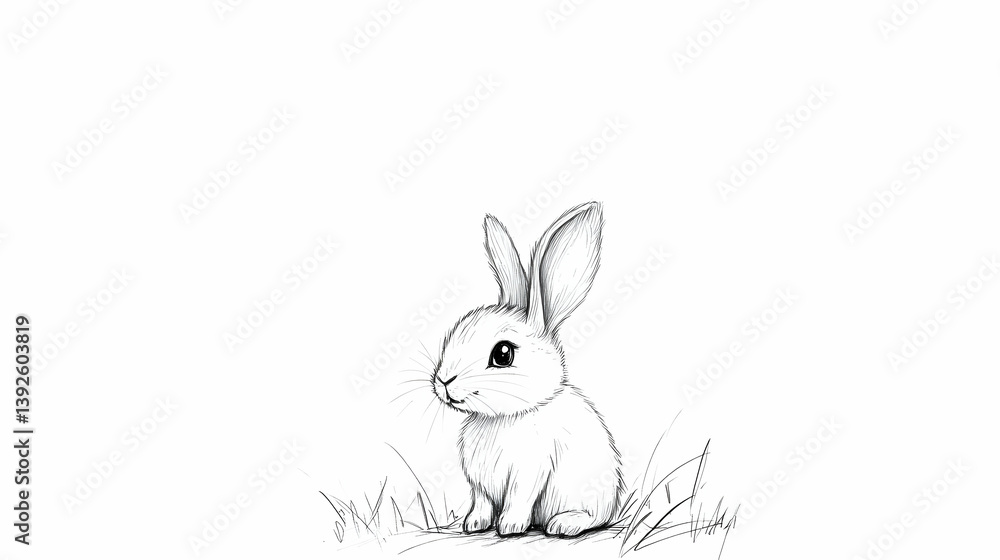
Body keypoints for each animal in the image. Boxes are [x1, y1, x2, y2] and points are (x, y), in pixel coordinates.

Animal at [430, 201, 623, 537]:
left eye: (503, 354)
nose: (444, 381)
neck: (503, 417)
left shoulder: (530, 471)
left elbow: (519, 499)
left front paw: (509, 527)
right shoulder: (479, 484)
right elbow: (481, 503)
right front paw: (473, 524)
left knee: (593, 517)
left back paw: (564, 524)